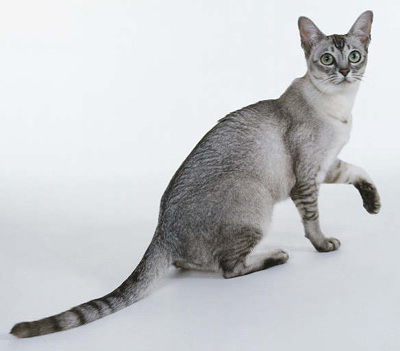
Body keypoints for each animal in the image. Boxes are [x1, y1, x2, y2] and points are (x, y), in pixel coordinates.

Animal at [9, 11, 380, 340]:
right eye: (328, 59)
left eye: (355, 56)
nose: (345, 71)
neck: (340, 109)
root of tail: (161, 231)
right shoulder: (305, 178)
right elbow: (313, 221)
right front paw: (323, 245)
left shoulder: (327, 166)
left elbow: (358, 171)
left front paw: (373, 204)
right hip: (256, 204)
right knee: (229, 269)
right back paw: (275, 256)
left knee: (190, 264)